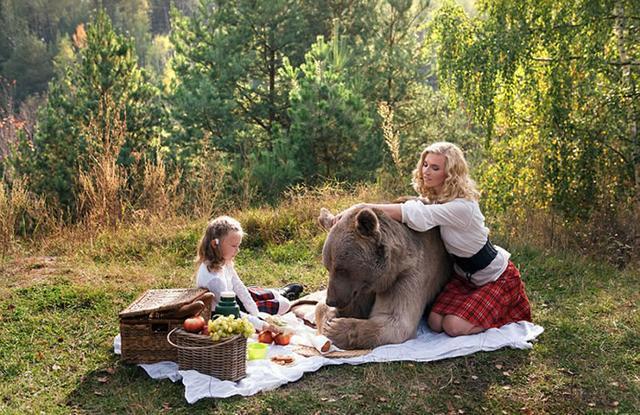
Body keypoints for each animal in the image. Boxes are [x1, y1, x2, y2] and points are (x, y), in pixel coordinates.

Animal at [316, 206, 450, 350]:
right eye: (328, 267)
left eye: (341, 269)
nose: (332, 300)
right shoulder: (359, 289)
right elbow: (326, 306)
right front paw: (328, 319)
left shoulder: (407, 275)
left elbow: (395, 320)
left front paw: (336, 328)